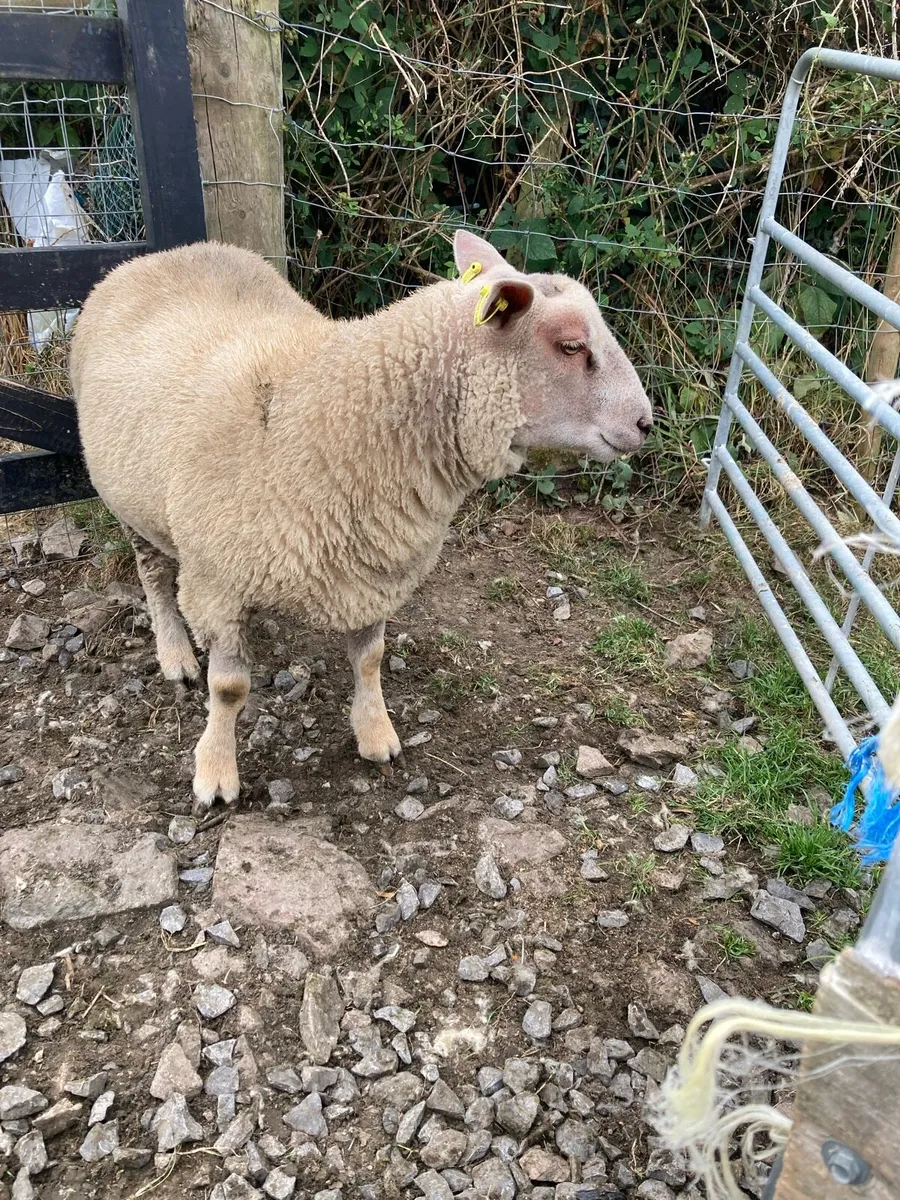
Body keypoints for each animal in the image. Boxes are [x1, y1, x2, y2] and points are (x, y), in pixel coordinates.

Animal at [70, 229, 652, 814]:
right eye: (571, 346)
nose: (647, 423)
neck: (328, 415)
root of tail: (161, 254)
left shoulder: (376, 564)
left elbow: (370, 658)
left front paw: (376, 734)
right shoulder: (219, 583)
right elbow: (229, 689)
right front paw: (215, 772)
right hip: (130, 501)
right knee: (153, 577)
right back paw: (175, 653)